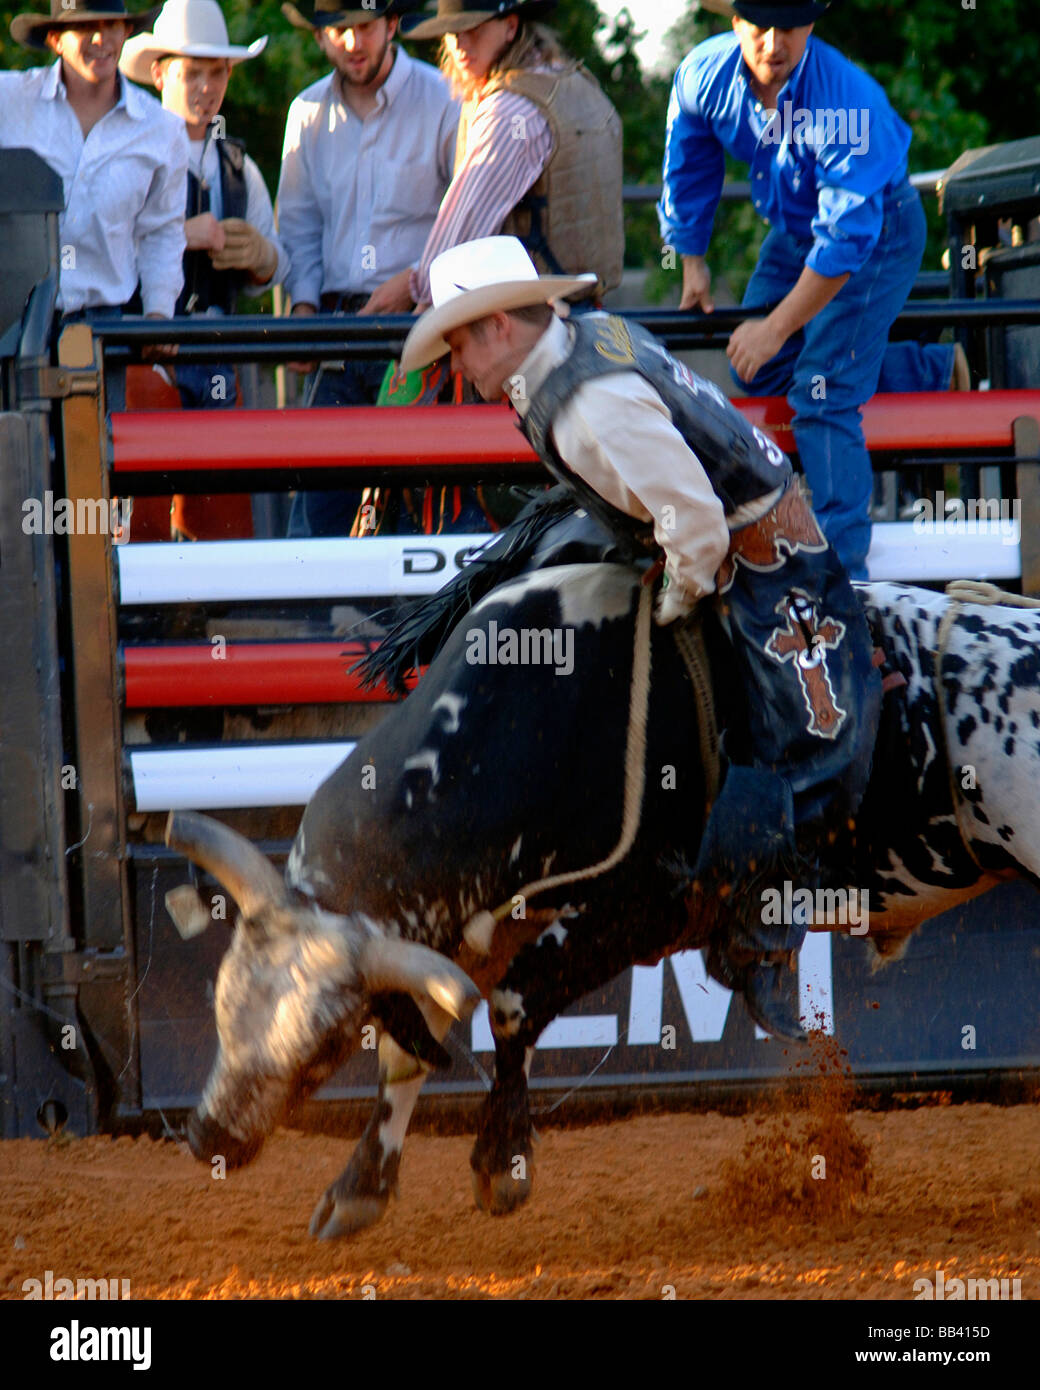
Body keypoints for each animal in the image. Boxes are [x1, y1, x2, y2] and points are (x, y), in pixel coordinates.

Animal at [166, 564, 1040, 1239]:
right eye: (219, 1007)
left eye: (322, 1050)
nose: (209, 1137)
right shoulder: (465, 928)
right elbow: (418, 1043)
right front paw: (360, 1190)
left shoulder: (646, 909)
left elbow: (513, 1009)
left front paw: (502, 1164)